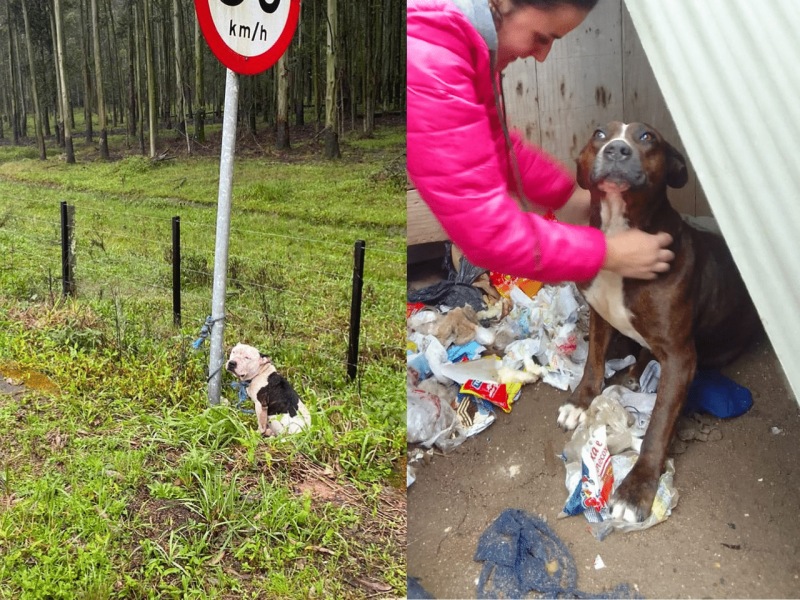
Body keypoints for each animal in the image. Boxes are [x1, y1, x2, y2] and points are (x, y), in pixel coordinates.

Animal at [560, 124, 760, 524]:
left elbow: (658, 425)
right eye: (599, 133)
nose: (616, 149)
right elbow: (593, 363)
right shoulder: (600, 315)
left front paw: (636, 489)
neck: (621, 234)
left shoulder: (681, 357)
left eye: (648, 137)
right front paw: (581, 401)